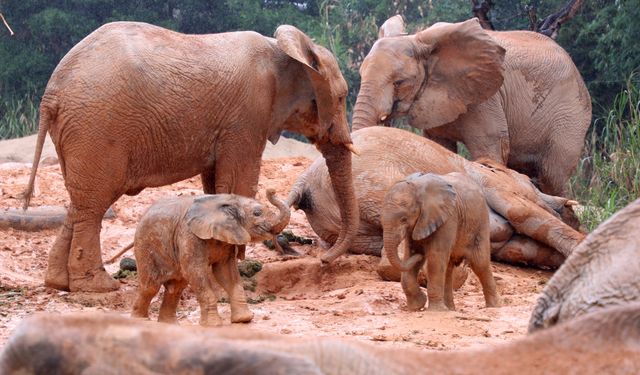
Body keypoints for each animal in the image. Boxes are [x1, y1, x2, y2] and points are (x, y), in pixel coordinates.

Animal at [22, 22, 358, 294]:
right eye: (342, 97)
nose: (323, 260)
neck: (287, 48)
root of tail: (51, 94)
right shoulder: (248, 116)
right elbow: (239, 179)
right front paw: (235, 272)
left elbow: (216, 181)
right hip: (96, 128)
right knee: (94, 203)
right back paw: (99, 287)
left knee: (80, 203)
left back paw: (60, 284)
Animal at [290, 128, 584, 278]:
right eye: (532, 183)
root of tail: (304, 181)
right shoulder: (495, 184)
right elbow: (524, 212)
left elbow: (521, 248)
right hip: (375, 179)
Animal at [350, 15, 592, 195]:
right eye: (360, 75)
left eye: (399, 82)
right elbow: (439, 148)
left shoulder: (485, 97)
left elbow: (489, 149)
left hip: (571, 114)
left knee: (552, 175)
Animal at [380, 173, 500, 312]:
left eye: (403, 219)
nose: (421, 255)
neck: (418, 187)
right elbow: (411, 255)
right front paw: (417, 305)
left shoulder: (448, 218)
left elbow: (435, 257)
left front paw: (435, 310)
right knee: (448, 267)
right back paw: (450, 309)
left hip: (480, 223)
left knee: (480, 263)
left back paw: (494, 307)